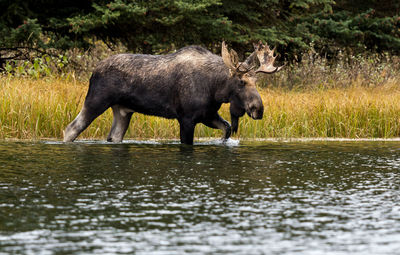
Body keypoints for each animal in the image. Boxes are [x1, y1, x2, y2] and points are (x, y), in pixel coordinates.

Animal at [63, 42, 282, 145]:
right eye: (242, 82)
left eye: (257, 82)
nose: (258, 109)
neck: (216, 90)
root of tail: (93, 71)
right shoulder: (186, 118)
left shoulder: (207, 114)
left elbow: (227, 128)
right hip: (96, 101)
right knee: (71, 128)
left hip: (123, 111)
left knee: (113, 136)